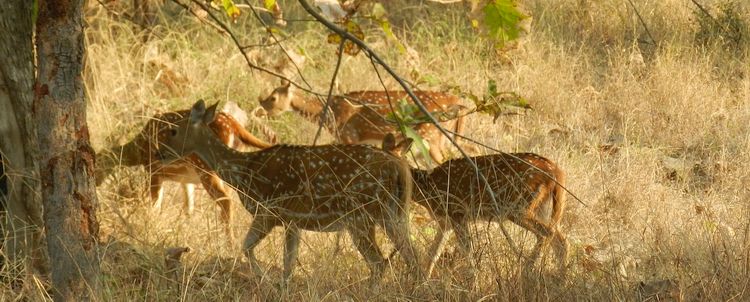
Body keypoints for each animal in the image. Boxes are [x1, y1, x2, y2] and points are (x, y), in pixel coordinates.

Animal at [95, 108, 274, 241]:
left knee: (225, 200)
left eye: (98, 164)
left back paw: (228, 240)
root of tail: (234, 125)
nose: (95, 182)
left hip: (206, 167)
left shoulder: (153, 170)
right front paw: (183, 228)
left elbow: (155, 204)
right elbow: (189, 207)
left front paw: (151, 224)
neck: (139, 151)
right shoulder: (185, 180)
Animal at [154, 100, 424, 286]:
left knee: (379, 263)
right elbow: (288, 263)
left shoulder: (270, 210)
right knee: (411, 256)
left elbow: (247, 247)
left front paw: (264, 279)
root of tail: (399, 167)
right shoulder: (293, 220)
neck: (243, 172)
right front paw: (281, 285)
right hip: (394, 213)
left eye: (174, 131)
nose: (159, 153)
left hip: (360, 215)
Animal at [260, 81, 470, 164]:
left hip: (432, 135)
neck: (329, 114)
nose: (261, 108)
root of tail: (459, 103)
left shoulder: (349, 135)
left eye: (273, 98)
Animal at [384, 134, 568, 280]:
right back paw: (561, 279)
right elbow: (433, 253)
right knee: (560, 240)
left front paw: (473, 281)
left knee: (546, 233)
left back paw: (526, 272)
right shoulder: (445, 222)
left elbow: (467, 250)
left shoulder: (457, 212)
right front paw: (423, 281)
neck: (427, 188)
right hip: (542, 207)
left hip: (519, 206)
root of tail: (557, 172)